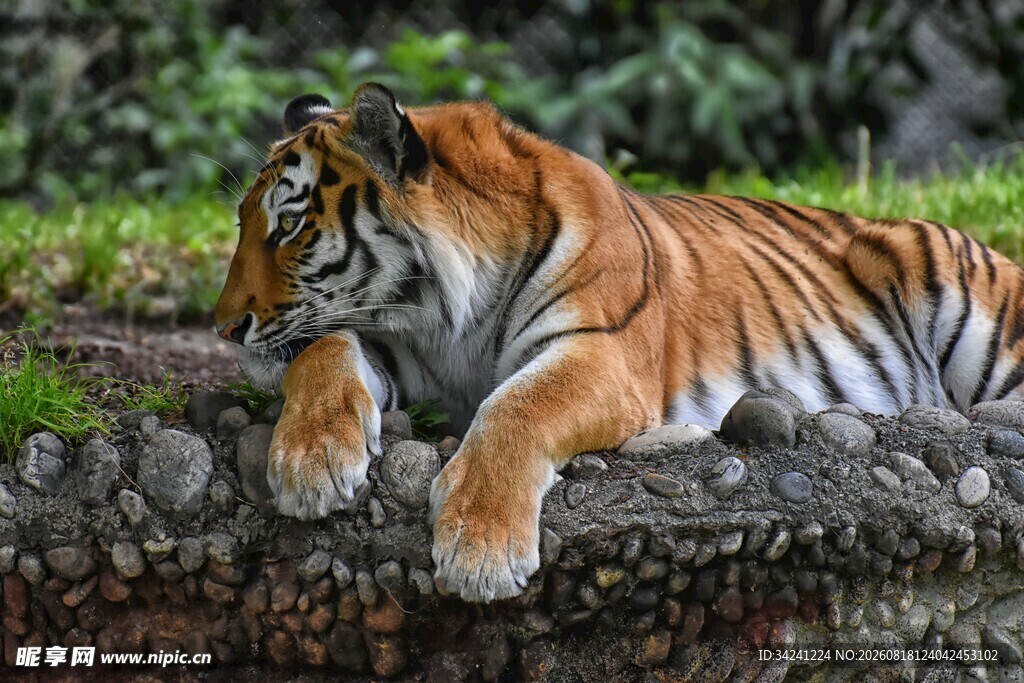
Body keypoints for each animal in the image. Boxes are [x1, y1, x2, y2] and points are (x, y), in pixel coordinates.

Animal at [214, 82, 1024, 603]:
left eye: (290, 226)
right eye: (243, 222)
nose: (223, 327)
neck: (443, 315)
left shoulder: (601, 353)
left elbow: (517, 408)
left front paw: (480, 550)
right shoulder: (391, 343)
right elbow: (323, 351)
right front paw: (312, 463)